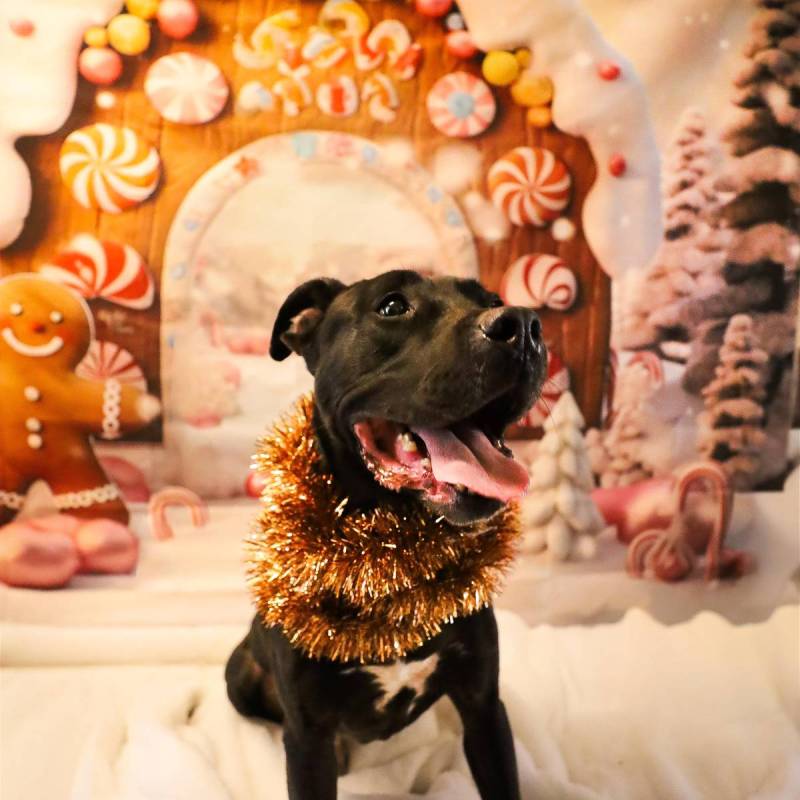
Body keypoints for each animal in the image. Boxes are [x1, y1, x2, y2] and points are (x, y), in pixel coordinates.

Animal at [226, 269, 545, 800]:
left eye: (492, 298)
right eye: (392, 306)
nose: (522, 325)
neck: (388, 557)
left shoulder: (483, 708)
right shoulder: (308, 739)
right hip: (239, 677)